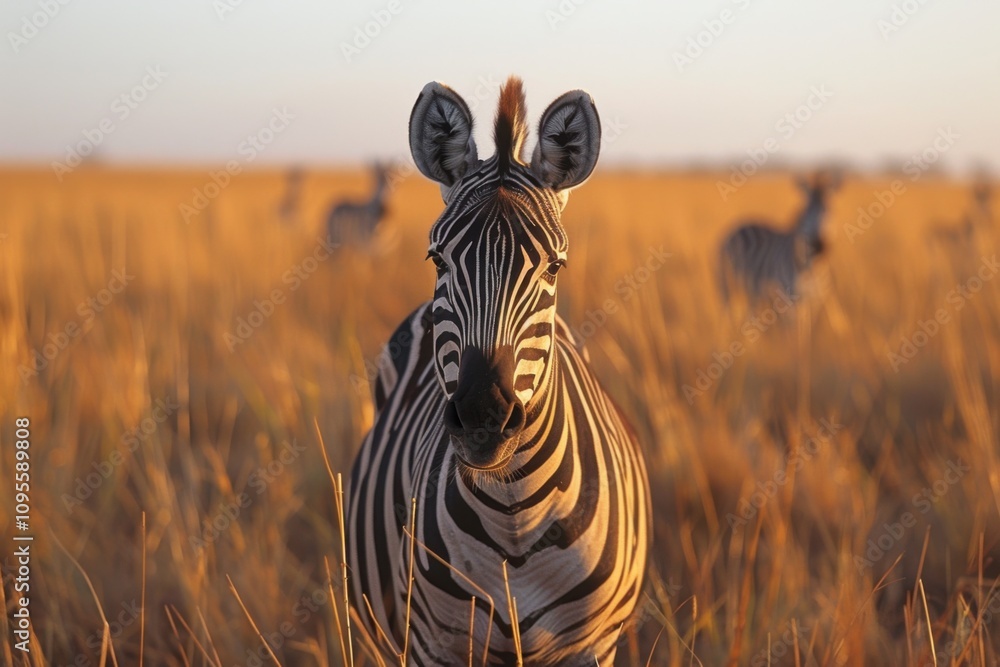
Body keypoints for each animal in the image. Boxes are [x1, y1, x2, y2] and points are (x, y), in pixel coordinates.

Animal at [348, 77, 652, 667]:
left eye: (555, 266)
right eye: (437, 260)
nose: (483, 418)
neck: (516, 517)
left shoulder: (592, 646)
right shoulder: (435, 645)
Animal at [716, 175, 840, 306]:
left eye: (828, 210)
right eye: (805, 211)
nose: (818, 245)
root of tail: (731, 231)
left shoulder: (819, 299)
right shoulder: (790, 295)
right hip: (734, 284)